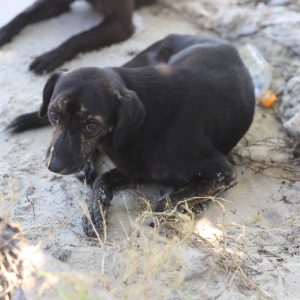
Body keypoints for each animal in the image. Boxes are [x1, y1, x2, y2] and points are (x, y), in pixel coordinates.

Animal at [0, 0, 155, 74]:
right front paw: (3, 33)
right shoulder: (58, 3)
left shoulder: (121, 24)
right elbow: (24, 14)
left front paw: (50, 57)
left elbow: (79, 37)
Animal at [6, 35, 255, 237]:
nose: (54, 166)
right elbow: (101, 182)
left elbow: (166, 202)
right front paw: (95, 215)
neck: (141, 129)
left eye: (91, 125)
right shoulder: (133, 168)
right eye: (54, 114)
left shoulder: (223, 172)